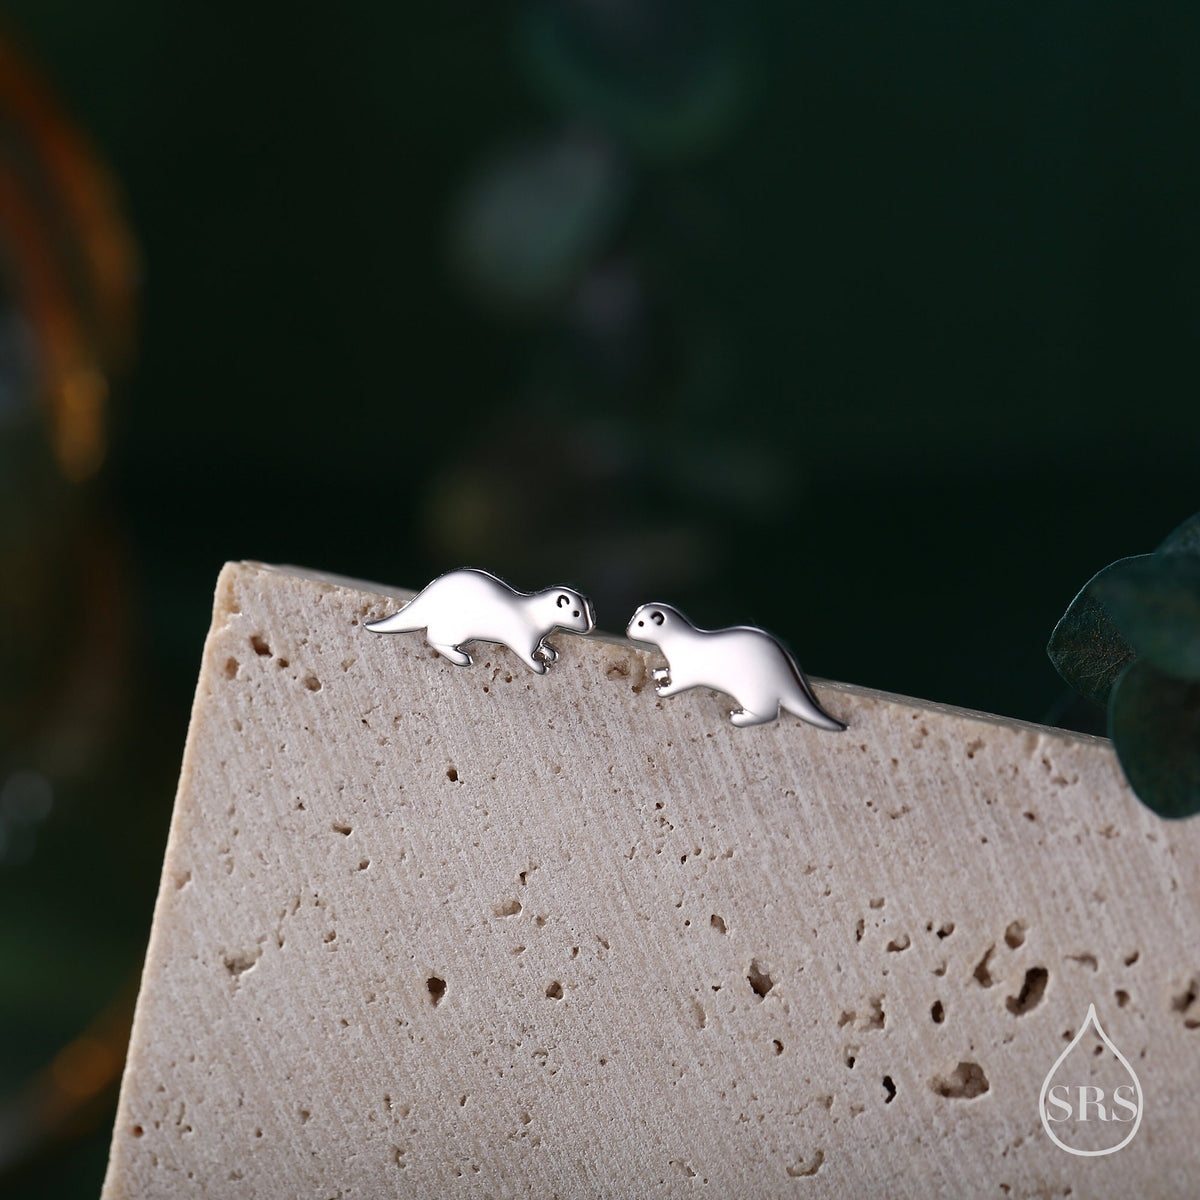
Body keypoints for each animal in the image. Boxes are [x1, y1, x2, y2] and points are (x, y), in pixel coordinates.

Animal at [367, 569, 595, 674]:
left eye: (589, 612)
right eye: (576, 613)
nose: (588, 626)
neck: (533, 615)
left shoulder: (536, 637)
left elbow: (541, 646)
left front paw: (549, 652)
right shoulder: (521, 636)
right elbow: (526, 654)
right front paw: (540, 666)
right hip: (454, 628)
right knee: (434, 639)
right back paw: (461, 658)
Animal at [626, 603, 846, 730]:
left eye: (641, 624)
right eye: (634, 619)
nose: (628, 629)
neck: (679, 643)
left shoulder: (687, 671)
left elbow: (679, 683)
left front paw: (663, 690)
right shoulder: (677, 666)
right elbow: (669, 671)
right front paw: (659, 673)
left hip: (754, 692)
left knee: (767, 713)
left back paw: (739, 718)